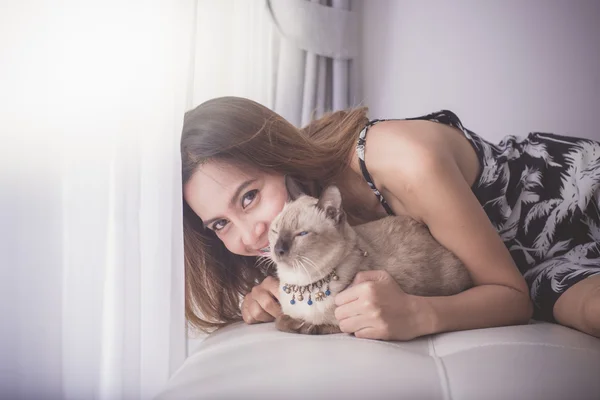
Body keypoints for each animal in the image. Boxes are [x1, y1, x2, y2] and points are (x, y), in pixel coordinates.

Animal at [268, 175, 474, 334]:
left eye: (301, 234)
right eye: (275, 231)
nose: (278, 250)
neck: (304, 284)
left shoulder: (343, 323)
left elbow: (316, 325)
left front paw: (306, 326)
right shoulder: (286, 314)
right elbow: (280, 320)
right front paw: (296, 323)